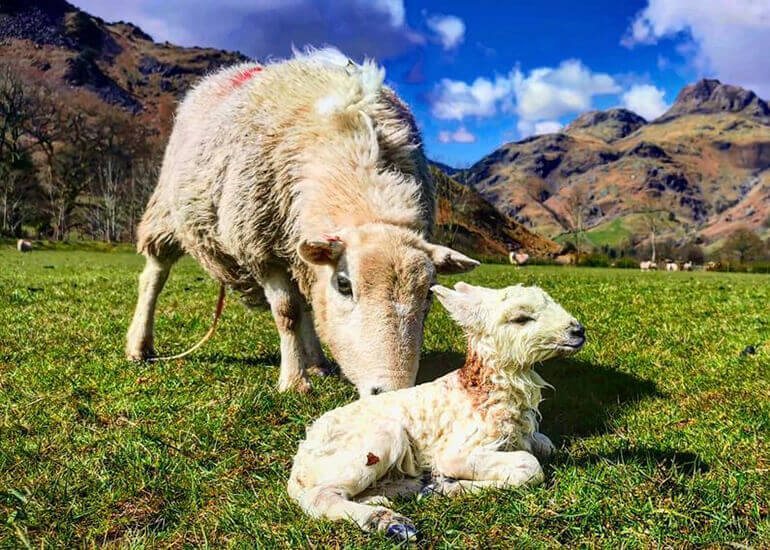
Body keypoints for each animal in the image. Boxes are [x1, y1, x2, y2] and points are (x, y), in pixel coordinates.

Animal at [125, 48, 474, 396]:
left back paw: (317, 361)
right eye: (344, 286)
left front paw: (308, 367)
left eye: (429, 293)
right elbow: (287, 313)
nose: (391, 393)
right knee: (153, 276)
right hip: (167, 212)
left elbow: (306, 306)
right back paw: (139, 346)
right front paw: (294, 381)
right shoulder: (261, 249)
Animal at [288, 284, 584, 544]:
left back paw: (409, 490)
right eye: (521, 318)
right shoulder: (458, 448)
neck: (481, 391)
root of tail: (299, 465)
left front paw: (440, 487)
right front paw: (448, 486)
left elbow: (546, 445)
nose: (578, 330)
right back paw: (391, 523)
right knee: (318, 498)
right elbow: (530, 466)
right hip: (375, 441)